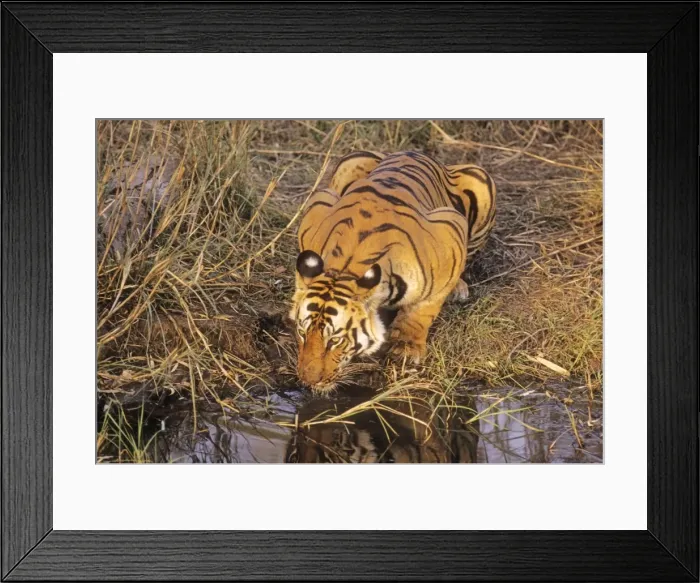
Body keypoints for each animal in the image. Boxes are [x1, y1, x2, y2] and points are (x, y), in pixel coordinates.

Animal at [290, 150, 496, 391]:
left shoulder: (451, 232)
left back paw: (458, 288)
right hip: (351, 160)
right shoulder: (317, 206)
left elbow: (423, 309)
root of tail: (415, 152)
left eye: (335, 341)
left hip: (481, 179)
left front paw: (406, 348)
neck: (345, 267)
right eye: (302, 332)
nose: (308, 380)